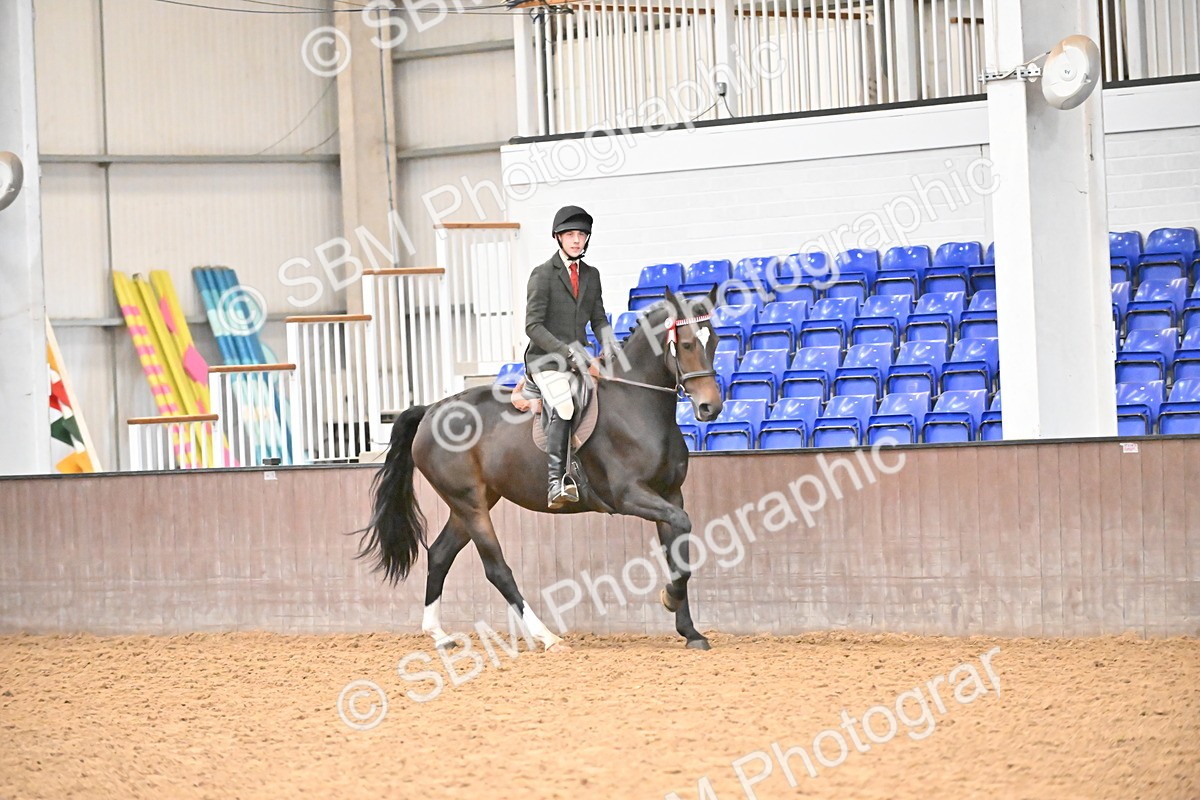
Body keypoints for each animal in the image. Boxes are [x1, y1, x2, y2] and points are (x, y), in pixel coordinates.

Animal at [358, 289, 725, 650]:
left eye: (715, 341)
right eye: (687, 344)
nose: (711, 407)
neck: (637, 403)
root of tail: (432, 409)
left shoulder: (670, 495)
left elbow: (679, 552)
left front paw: (690, 631)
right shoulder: (629, 496)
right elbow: (682, 532)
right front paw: (669, 597)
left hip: (471, 503)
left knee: (438, 555)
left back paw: (439, 634)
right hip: (469, 503)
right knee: (497, 569)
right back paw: (546, 636)